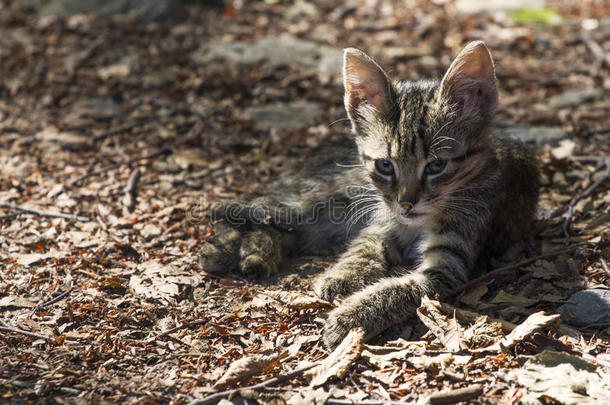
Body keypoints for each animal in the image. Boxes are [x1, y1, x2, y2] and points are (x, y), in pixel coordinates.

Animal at [200, 42, 536, 348]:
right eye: (385, 165)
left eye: (436, 165)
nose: (406, 202)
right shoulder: (379, 222)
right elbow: (362, 248)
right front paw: (343, 276)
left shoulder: (447, 265)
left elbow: (399, 289)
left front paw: (351, 316)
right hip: (326, 198)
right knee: (262, 208)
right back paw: (227, 232)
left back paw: (249, 251)